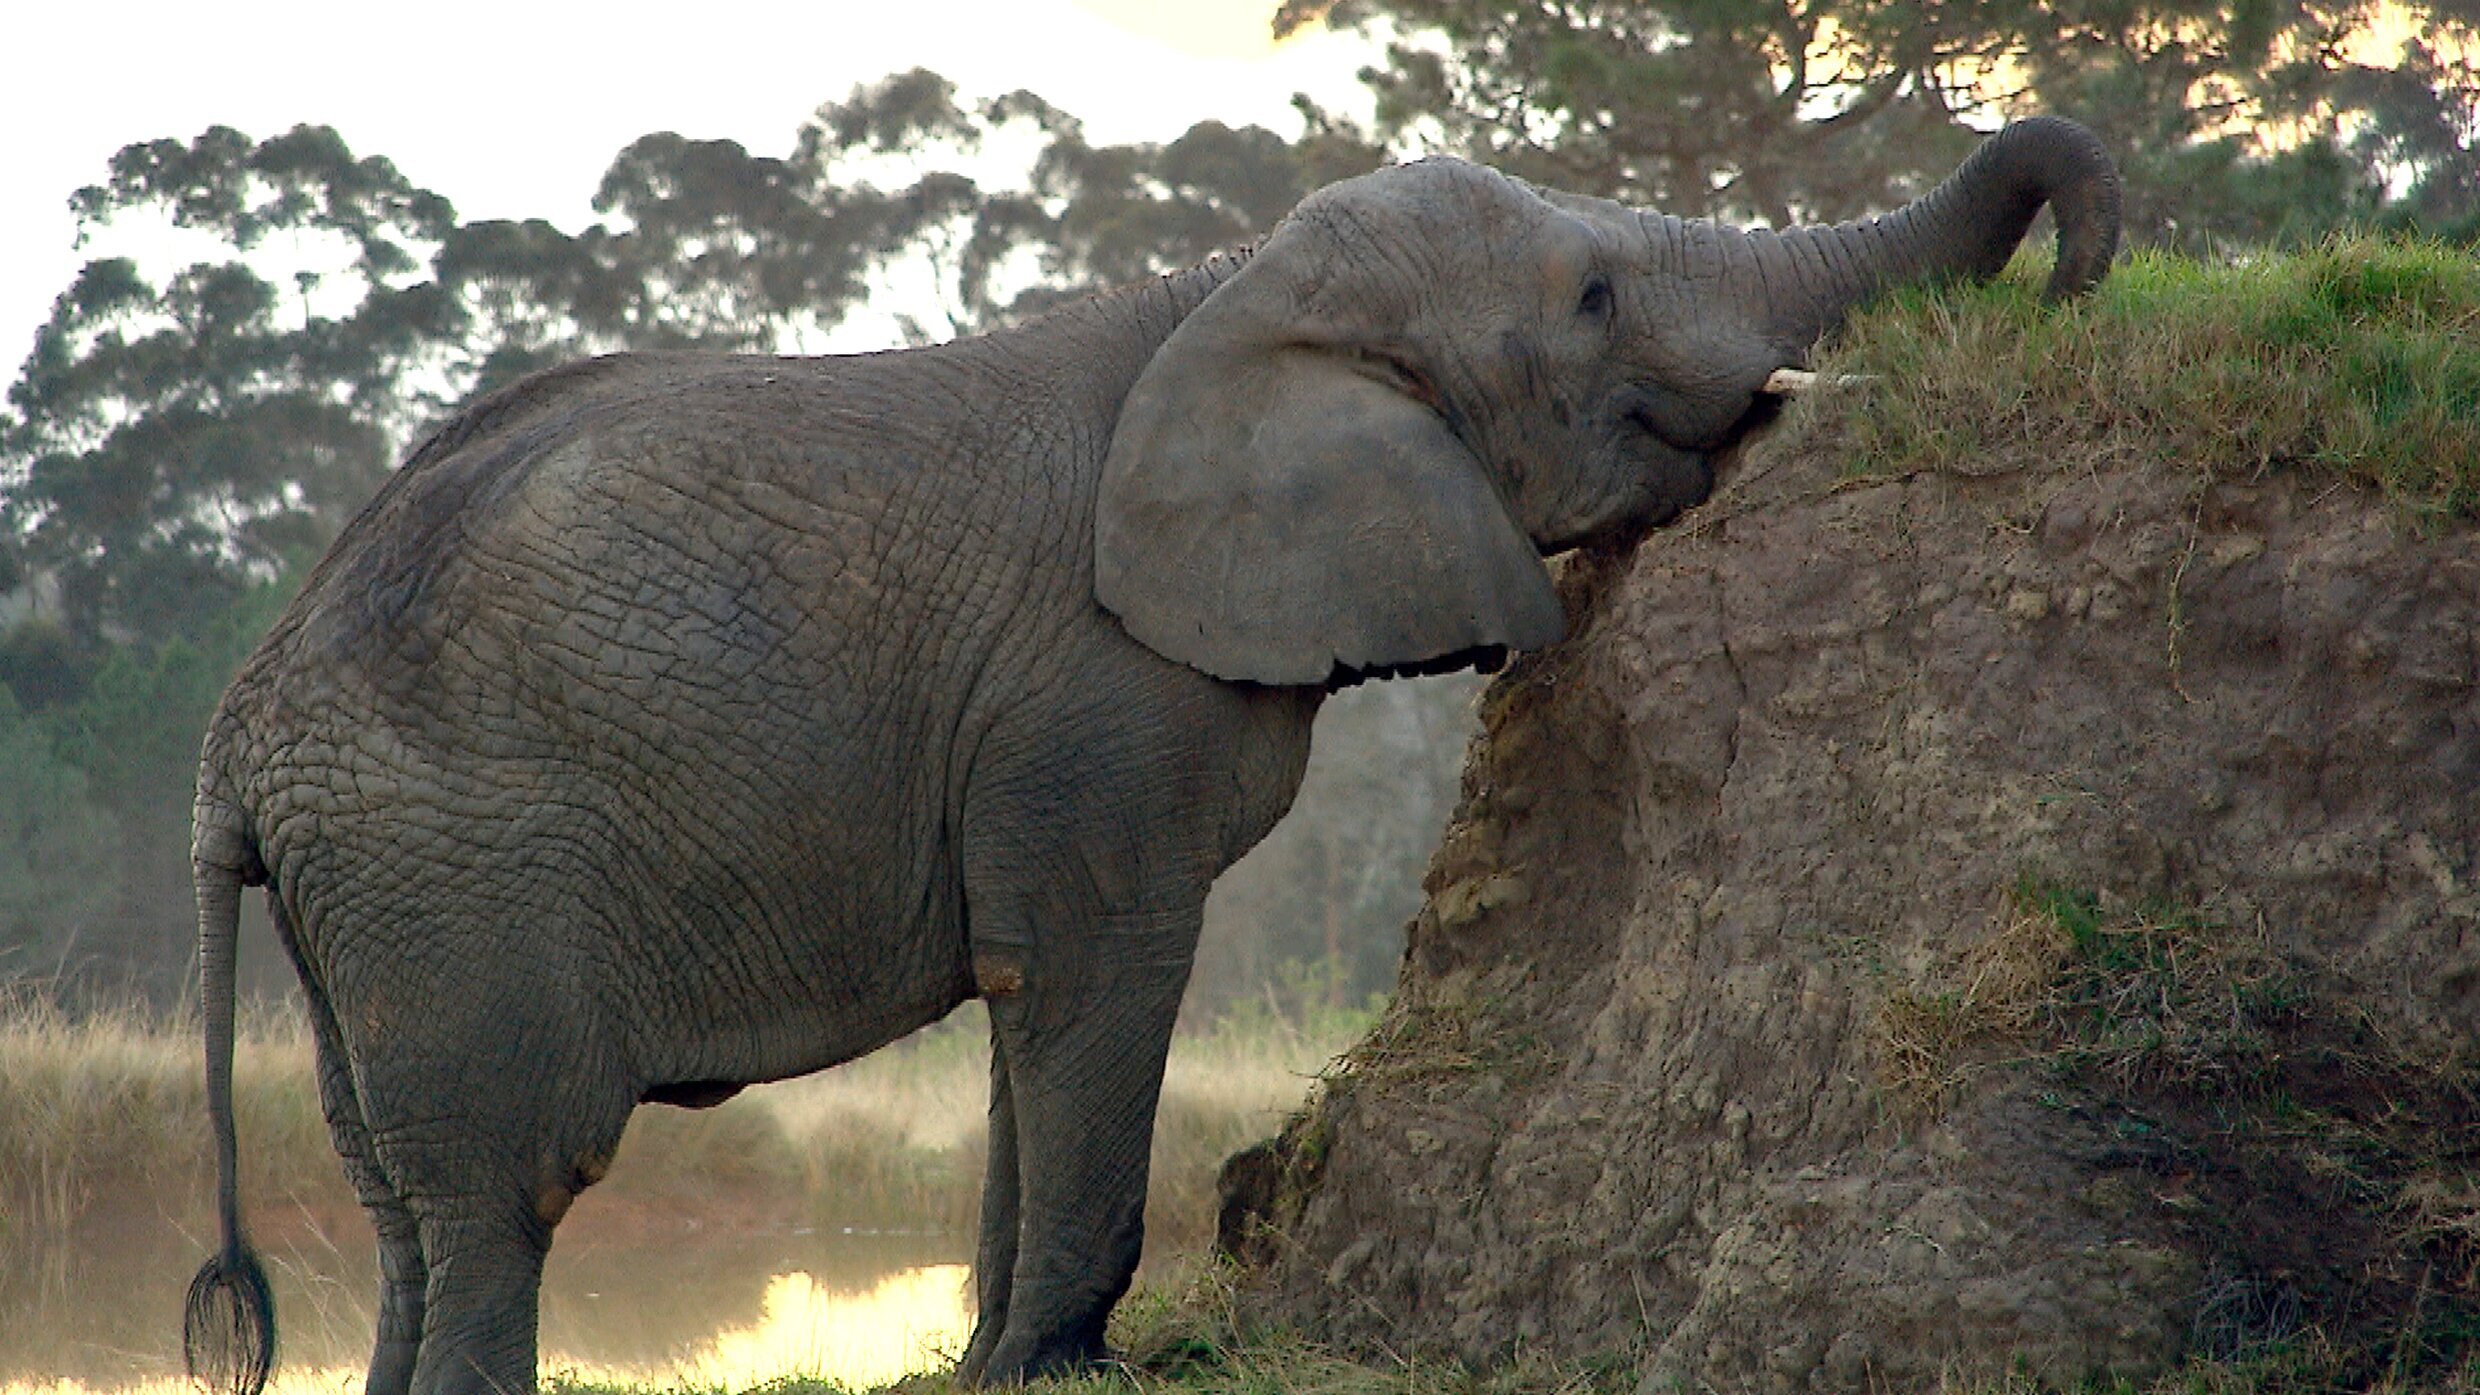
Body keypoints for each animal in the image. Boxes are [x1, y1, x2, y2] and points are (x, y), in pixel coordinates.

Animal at [179, 114, 2112, 1380]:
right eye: (1591, 297)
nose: (2081, 279)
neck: (1227, 288)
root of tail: (235, 746)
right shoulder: (1089, 701)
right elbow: (1101, 975)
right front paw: (1057, 1364)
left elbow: (1030, 1013)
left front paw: (994, 1363)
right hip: (452, 865)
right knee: (507, 1196)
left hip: (375, 903)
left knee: (403, 1205)